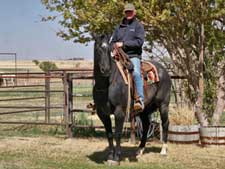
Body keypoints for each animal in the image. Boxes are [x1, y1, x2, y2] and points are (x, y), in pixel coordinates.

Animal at [92, 34, 171, 165]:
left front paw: (116, 158)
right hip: (145, 108)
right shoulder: (102, 113)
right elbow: (109, 134)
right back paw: (140, 149)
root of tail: (164, 70)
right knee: (146, 125)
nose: (106, 70)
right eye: (98, 49)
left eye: (109, 50)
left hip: (163, 105)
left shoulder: (119, 111)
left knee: (165, 123)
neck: (107, 83)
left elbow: (118, 134)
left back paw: (163, 150)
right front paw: (110, 156)